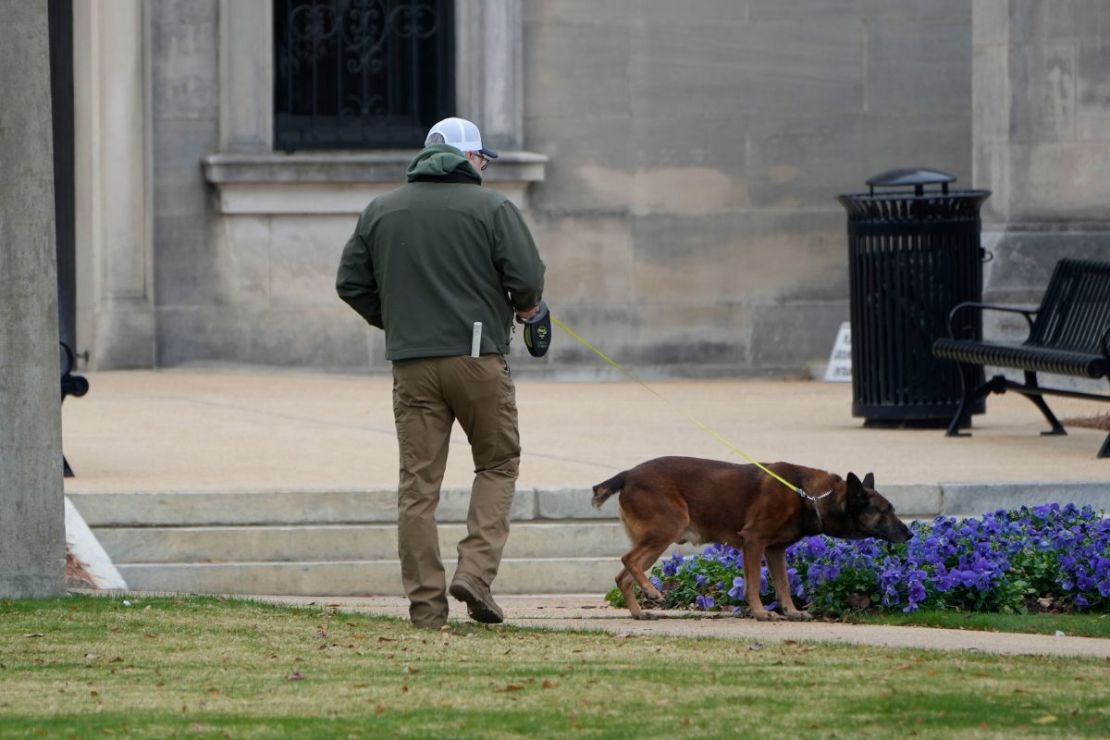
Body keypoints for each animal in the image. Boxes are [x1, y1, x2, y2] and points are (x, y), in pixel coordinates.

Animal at [594, 457, 914, 621]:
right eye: (886, 510)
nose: (910, 534)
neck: (810, 496)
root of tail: (627, 474)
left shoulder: (775, 550)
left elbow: (783, 585)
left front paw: (791, 611)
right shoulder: (753, 542)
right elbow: (754, 586)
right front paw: (761, 613)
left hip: (658, 537)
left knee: (622, 576)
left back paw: (639, 612)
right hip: (667, 528)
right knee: (628, 559)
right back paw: (652, 592)